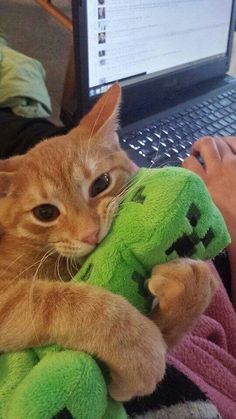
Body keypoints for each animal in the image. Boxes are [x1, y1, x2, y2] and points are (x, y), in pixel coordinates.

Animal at [0, 83, 217, 402]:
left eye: (100, 184)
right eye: (45, 213)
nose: (90, 234)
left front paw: (191, 288)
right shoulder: (7, 298)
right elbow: (67, 302)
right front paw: (139, 349)